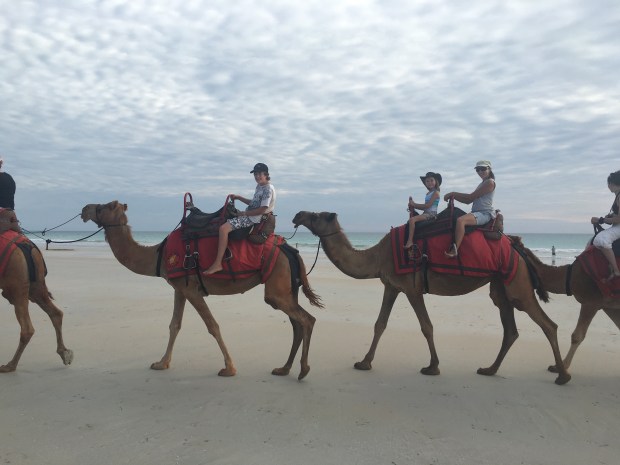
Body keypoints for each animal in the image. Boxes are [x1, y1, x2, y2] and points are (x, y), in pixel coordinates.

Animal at [0, 236, 73, 372]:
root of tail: (30, 248)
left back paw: (10, 366)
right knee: (56, 313)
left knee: (27, 329)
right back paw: (64, 353)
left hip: (17, 283)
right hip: (35, 286)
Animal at [81, 201, 322, 380]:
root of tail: (290, 249)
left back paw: (303, 370)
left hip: (277, 288)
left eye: (104, 206)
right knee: (297, 323)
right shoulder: (180, 288)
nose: (84, 209)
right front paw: (161, 363)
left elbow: (212, 326)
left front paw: (229, 368)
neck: (159, 255)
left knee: (306, 319)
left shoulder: (192, 291)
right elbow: (174, 325)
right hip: (285, 288)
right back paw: (284, 369)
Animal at [292, 211, 571, 385]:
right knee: (511, 329)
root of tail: (518, 248)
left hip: (518, 285)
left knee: (548, 324)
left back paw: (562, 375)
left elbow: (426, 326)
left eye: (316, 215)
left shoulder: (412, 288)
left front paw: (433, 367)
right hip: (501, 287)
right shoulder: (391, 286)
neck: (378, 256)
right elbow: (379, 324)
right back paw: (489, 369)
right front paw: (364, 362)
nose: (298, 215)